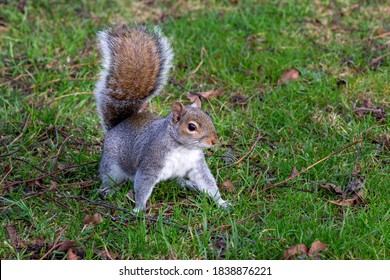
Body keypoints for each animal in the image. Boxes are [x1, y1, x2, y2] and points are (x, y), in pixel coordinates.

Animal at [93, 23, 230, 212]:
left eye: (209, 118)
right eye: (192, 127)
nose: (214, 141)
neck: (183, 148)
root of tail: (118, 125)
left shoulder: (196, 165)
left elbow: (208, 182)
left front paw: (222, 202)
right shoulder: (151, 163)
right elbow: (143, 185)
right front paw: (139, 209)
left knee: (177, 179)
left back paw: (188, 184)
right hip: (112, 165)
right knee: (110, 178)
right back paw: (108, 190)